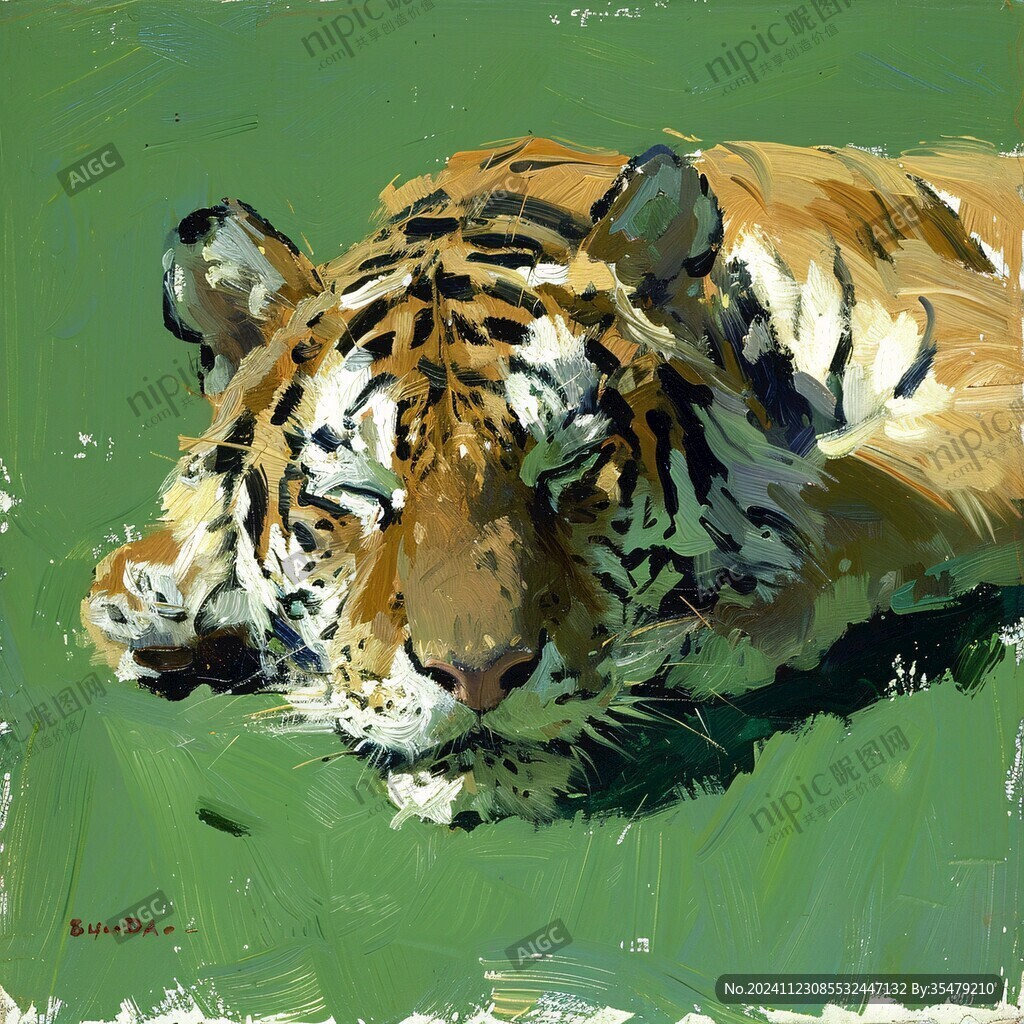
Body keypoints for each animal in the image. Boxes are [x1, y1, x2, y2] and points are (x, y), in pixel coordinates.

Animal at [83, 135, 1024, 826]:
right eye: (360, 494)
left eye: (566, 468)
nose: (479, 677)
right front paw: (156, 594)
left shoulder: (982, 375)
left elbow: (859, 488)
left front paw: (727, 623)